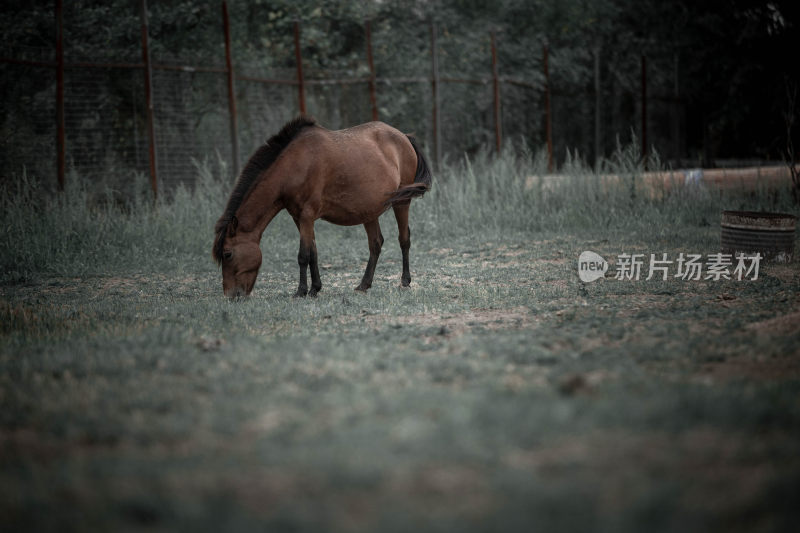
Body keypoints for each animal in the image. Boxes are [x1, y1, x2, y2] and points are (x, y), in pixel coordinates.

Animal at [212, 116, 432, 298]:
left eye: (227, 254)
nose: (230, 295)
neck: (295, 166)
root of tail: (404, 137)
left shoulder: (307, 216)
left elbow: (303, 255)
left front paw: (301, 291)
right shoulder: (299, 218)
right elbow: (313, 253)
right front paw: (315, 288)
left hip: (402, 202)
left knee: (404, 239)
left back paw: (405, 281)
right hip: (369, 211)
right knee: (376, 243)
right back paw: (364, 284)